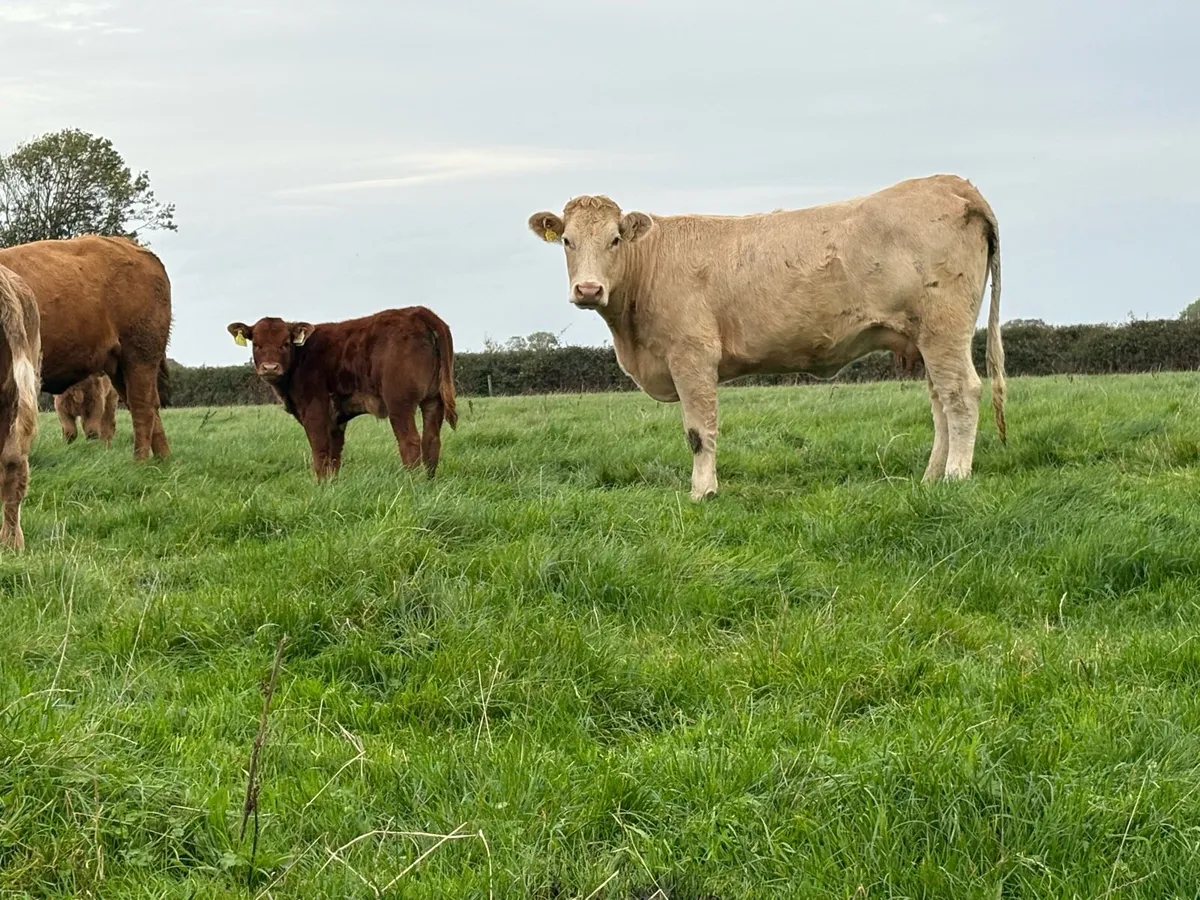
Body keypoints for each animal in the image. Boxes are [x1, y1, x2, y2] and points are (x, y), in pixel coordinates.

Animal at [0, 235, 172, 461]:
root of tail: (133, 248)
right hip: (119, 367)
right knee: (148, 405)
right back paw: (163, 460)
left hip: (139, 357)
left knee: (141, 406)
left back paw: (141, 462)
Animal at [226, 307, 458, 479]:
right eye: (257, 344)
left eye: (285, 343)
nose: (270, 368)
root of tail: (417, 312)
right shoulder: (336, 418)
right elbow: (335, 454)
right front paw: (332, 486)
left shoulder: (315, 409)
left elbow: (320, 451)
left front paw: (320, 488)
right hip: (433, 400)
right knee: (431, 441)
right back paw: (428, 484)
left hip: (399, 402)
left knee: (410, 442)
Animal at [527, 174, 1006, 501]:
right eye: (567, 240)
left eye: (614, 240)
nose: (589, 289)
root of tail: (952, 183)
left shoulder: (692, 355)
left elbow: (698, 430)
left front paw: (703, 491)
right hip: (926, 337)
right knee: (941, 401)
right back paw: (930, 477)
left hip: (944, 328)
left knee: (961, 393)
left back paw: (955, 477)